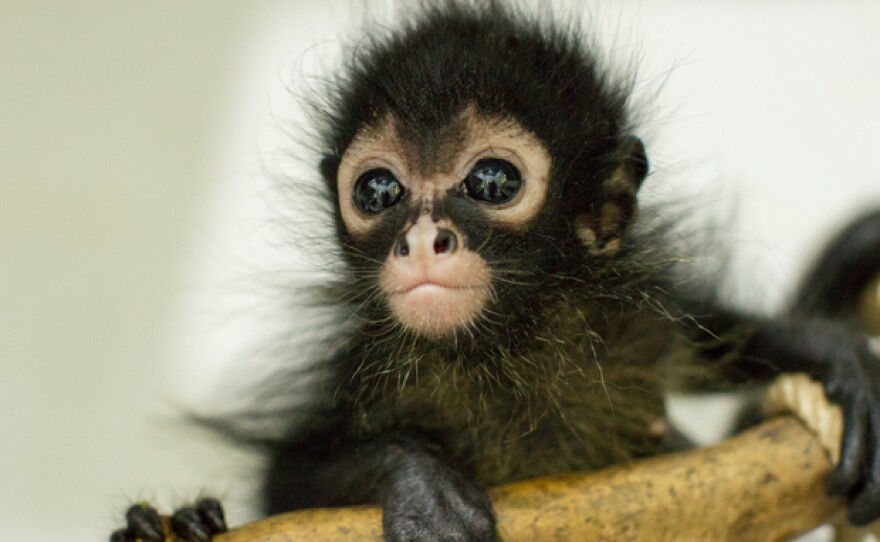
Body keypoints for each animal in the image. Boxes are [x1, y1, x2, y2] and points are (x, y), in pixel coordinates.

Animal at [110, 3, 880, 541]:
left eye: (491, 181)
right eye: (379, 191)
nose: (424, 241)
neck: (505, 341)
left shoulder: (627, 315)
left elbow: (707, 329)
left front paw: (834, 356)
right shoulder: (369, 363)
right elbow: (286, 482)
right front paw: (418, 479)